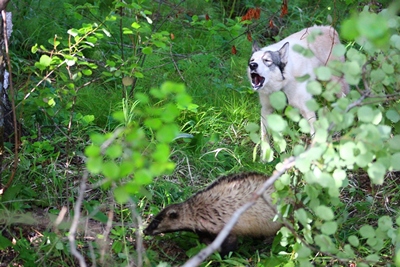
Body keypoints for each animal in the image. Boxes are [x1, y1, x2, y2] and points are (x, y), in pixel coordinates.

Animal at [248, 26, 348, 156]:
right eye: (252, 60)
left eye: (267, 60)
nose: (252, 65)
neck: (281, 87)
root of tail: (328, 28)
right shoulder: (266, 110)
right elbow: (264, 136)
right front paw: (265, 156)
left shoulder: (307, 110)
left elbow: (314, 135)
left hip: (335, 82)